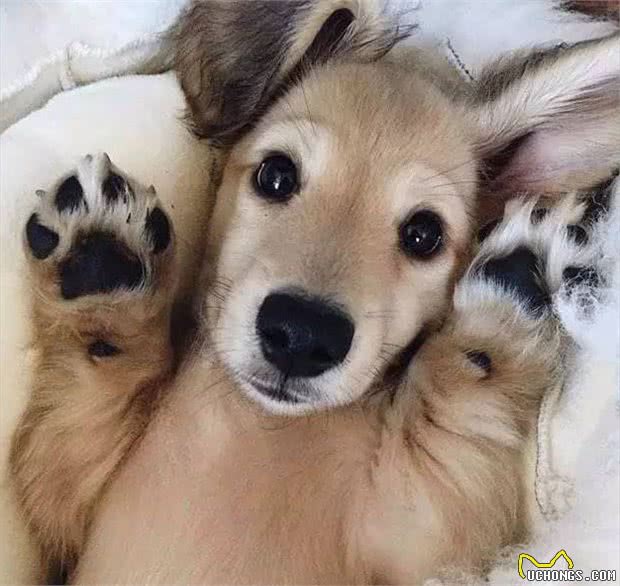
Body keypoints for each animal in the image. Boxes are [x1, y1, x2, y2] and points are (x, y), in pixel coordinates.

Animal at [9, 0, 619, 582]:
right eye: (276, 175)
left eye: (424, 235)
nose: (303, 336)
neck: (261, 423)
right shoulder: (73, 497)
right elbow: (85, 400)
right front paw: (99, 264)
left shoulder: (431, 539)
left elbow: (464, 419)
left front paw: (505, 308)